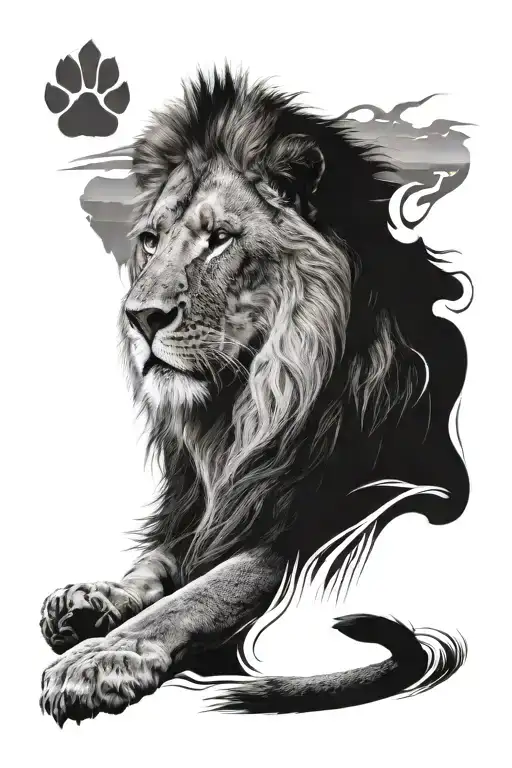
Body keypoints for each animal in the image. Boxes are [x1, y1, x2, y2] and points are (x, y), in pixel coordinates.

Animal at [40, 67, 469, 724]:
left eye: (219, 238)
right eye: (150, 241)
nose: (139, 317)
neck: (245, 414)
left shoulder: (306, 531)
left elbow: (198, 592)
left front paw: (100, 659)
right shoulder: (211, 511)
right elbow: (159, 563)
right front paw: (92, 597)